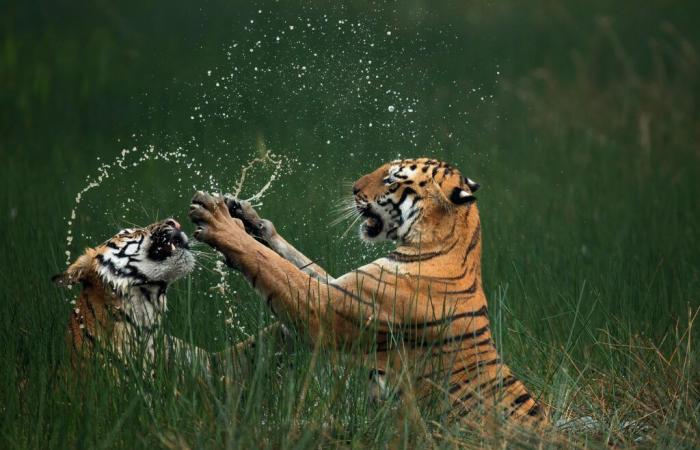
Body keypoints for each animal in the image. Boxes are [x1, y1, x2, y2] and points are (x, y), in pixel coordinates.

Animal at [189, 160, 548, 428]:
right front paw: (246, 216)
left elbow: (272, 265)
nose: (353, 189)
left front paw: (219, 221)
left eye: (391, 180)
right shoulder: (342, 288)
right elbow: (295, 260)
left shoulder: (325, 308)